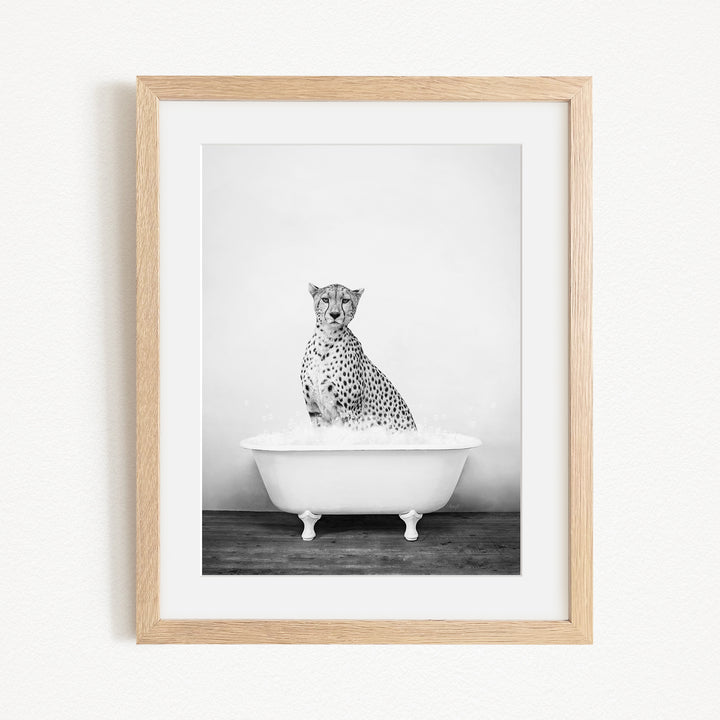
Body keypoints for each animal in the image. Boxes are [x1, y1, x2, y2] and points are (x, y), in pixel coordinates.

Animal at [300, 283, 417, 432]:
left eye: (345, 300)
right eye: (325, 299)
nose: (334, 314)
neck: (326, 339)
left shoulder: (350, 412)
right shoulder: (315, 411)